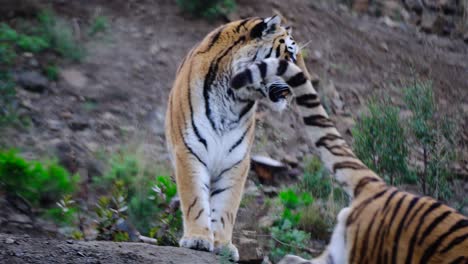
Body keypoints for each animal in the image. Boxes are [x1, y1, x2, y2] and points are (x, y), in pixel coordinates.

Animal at [165, 14, 304, 260]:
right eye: (288, 55)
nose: (297, 84)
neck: (232, 97)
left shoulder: (236, 159)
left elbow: (226, 204)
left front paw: (223, 244)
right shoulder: (189, 151)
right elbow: (195, 198)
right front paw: (198, 239)